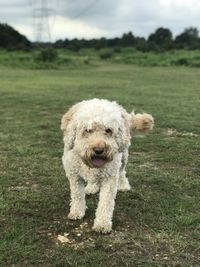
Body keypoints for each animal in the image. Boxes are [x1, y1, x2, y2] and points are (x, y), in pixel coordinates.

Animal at [61, 99, 153, 234]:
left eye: (108, 130)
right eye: (87, 130)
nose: (99, 150)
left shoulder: (110, 178)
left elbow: (106, 202)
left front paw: (102, 224)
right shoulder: (74, 176)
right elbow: (77, 195)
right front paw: (77, 212)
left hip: (123, 155)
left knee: (122, 172)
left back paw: (123, 185)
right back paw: (91, 187)